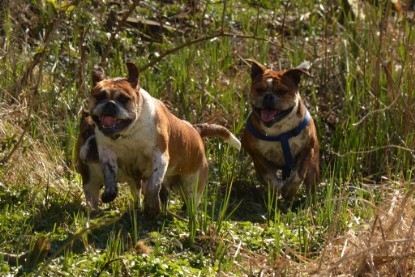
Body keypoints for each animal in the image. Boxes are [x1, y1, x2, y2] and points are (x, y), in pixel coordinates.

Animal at [89, 62, 242, 218]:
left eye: (123, 99)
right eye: (99, 96)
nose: (110, 104)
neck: (128, 132)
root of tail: (195, 129)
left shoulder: (159, 155)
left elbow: (153, 185)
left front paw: (152, 206)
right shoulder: (107, 155)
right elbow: (109, 174)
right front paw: (110, 192)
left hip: (192, 183)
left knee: (190, 199)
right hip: (142, 180)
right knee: (147, 192)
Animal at [242, 59, 320, 198]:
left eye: (282, 91)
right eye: (259, 89)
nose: (268, 96)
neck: (279, 130)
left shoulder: (307, 150)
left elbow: (299, 174)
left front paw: (290, 189)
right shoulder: (258, 157)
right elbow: (269, 177)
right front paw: (278, 187)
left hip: (313, 166)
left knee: (310, 183)